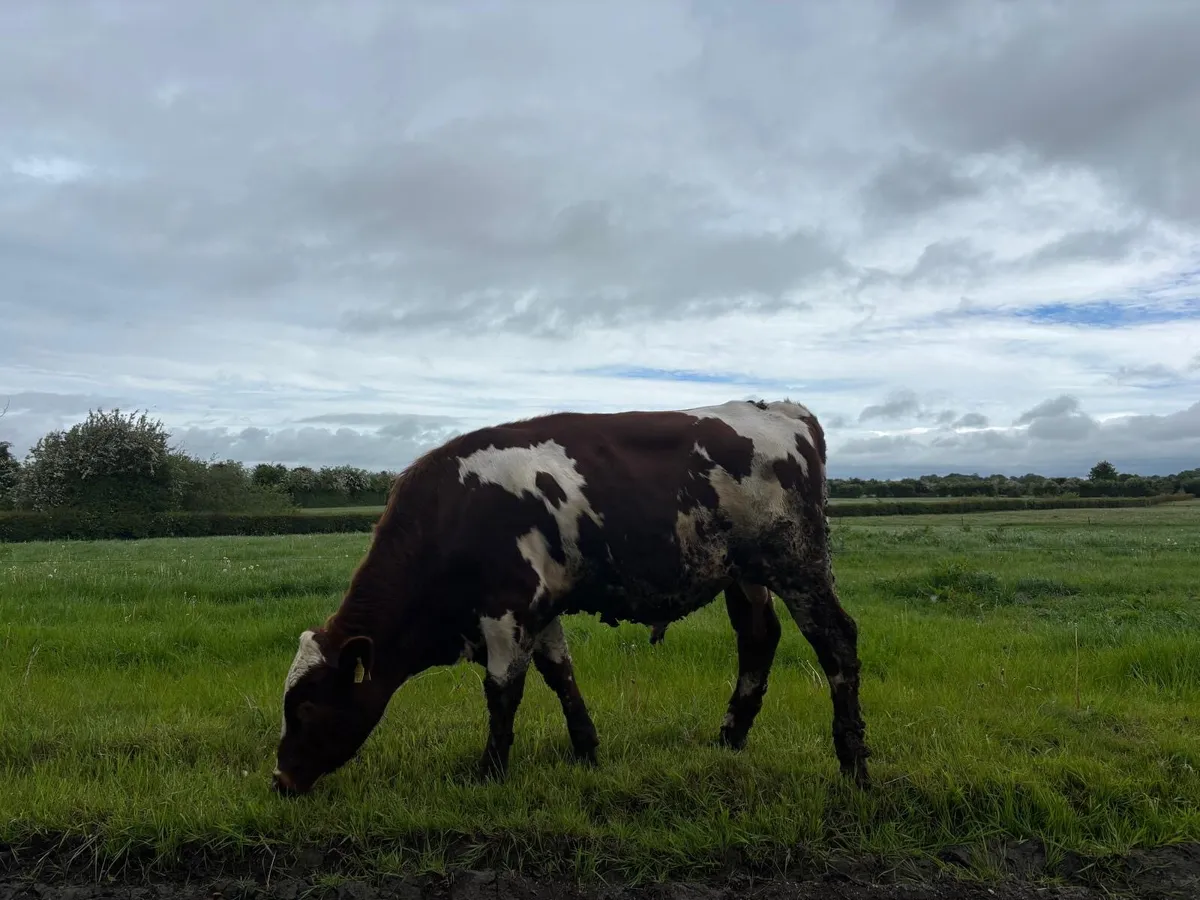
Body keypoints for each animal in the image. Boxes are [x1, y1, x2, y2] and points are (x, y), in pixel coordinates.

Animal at [272, 399, 869, 795]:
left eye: (306, 707)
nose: (279, 778)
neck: (451, 514)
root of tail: (783, 411)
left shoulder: (507, 608)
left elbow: (503, 691)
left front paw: (490, 772)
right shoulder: (541, 607)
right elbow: (559, 674)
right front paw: (586, 749)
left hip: (798, 563)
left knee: (836, 640)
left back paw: (854, 763)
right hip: (744, 574)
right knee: (758, 638)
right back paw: (729, 738)